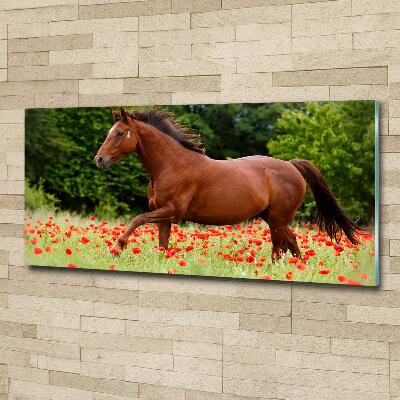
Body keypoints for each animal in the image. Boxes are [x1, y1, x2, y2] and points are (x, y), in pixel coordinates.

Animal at [94, 108, 360, 260]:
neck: (172, 165)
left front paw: (117, 248)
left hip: (277, 219)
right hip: (273, 217)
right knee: (291, 243)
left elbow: (137, 219)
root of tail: (292, 166)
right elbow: (162, 246)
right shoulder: (163, 216)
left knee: (278, 248)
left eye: (119, 133)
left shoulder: (172, 212)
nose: (99, 160)